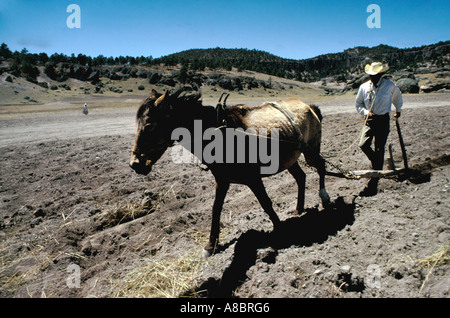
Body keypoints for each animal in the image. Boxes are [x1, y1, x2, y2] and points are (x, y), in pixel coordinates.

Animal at [130, 88, 330, 258]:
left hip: (310, 152)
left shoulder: (253, 179)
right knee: (301, 177)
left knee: (321, 167)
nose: (135, 164)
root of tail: (309, 106)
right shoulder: (222, 180)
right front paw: (211, 245)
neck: (220, 136)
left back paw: (325, 198)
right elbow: (216, 208)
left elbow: (266, 203)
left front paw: (281, 230)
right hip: (291, 159)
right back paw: (298, 210)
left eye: (149, 124)